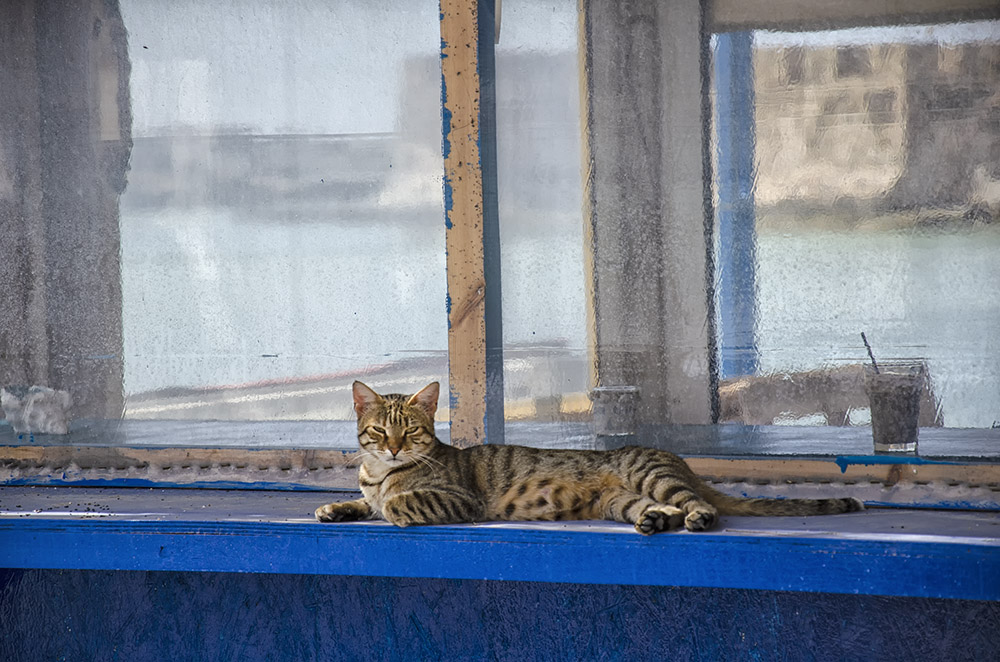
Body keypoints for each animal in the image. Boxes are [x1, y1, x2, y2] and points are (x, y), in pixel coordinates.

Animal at [316, 384, 864, 536]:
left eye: (410, 431)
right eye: (379, 431)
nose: (392, 447)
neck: (380, 472)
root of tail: (680, 461)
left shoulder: (459, 500)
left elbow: (398, 505)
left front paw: (390, 506)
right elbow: (363, 503)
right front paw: (335, 507)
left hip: (653, 477)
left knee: (698, 505)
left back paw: (698, 517)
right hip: (620, 501)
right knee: (662, 510)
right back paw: (655, 522)